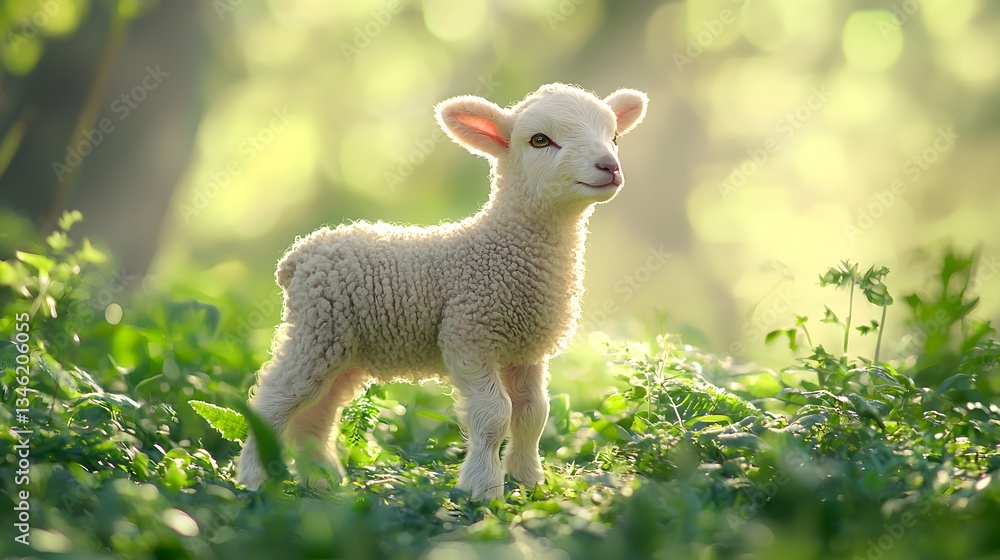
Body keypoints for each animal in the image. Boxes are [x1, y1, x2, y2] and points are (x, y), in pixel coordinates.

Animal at [236, 83, 648, 500]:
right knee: (274, 400)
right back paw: (254, 479)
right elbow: (494, 415)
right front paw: (483, 489)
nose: (609, 166)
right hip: (317, 331)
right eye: (539, 140)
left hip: (346, 350)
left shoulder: (526, 351)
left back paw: (323, 480)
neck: (502, 248)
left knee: (318, 414)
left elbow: (533, 414)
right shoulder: (468, 337)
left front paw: (528, 482)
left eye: (614, 137)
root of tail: (298, 254)